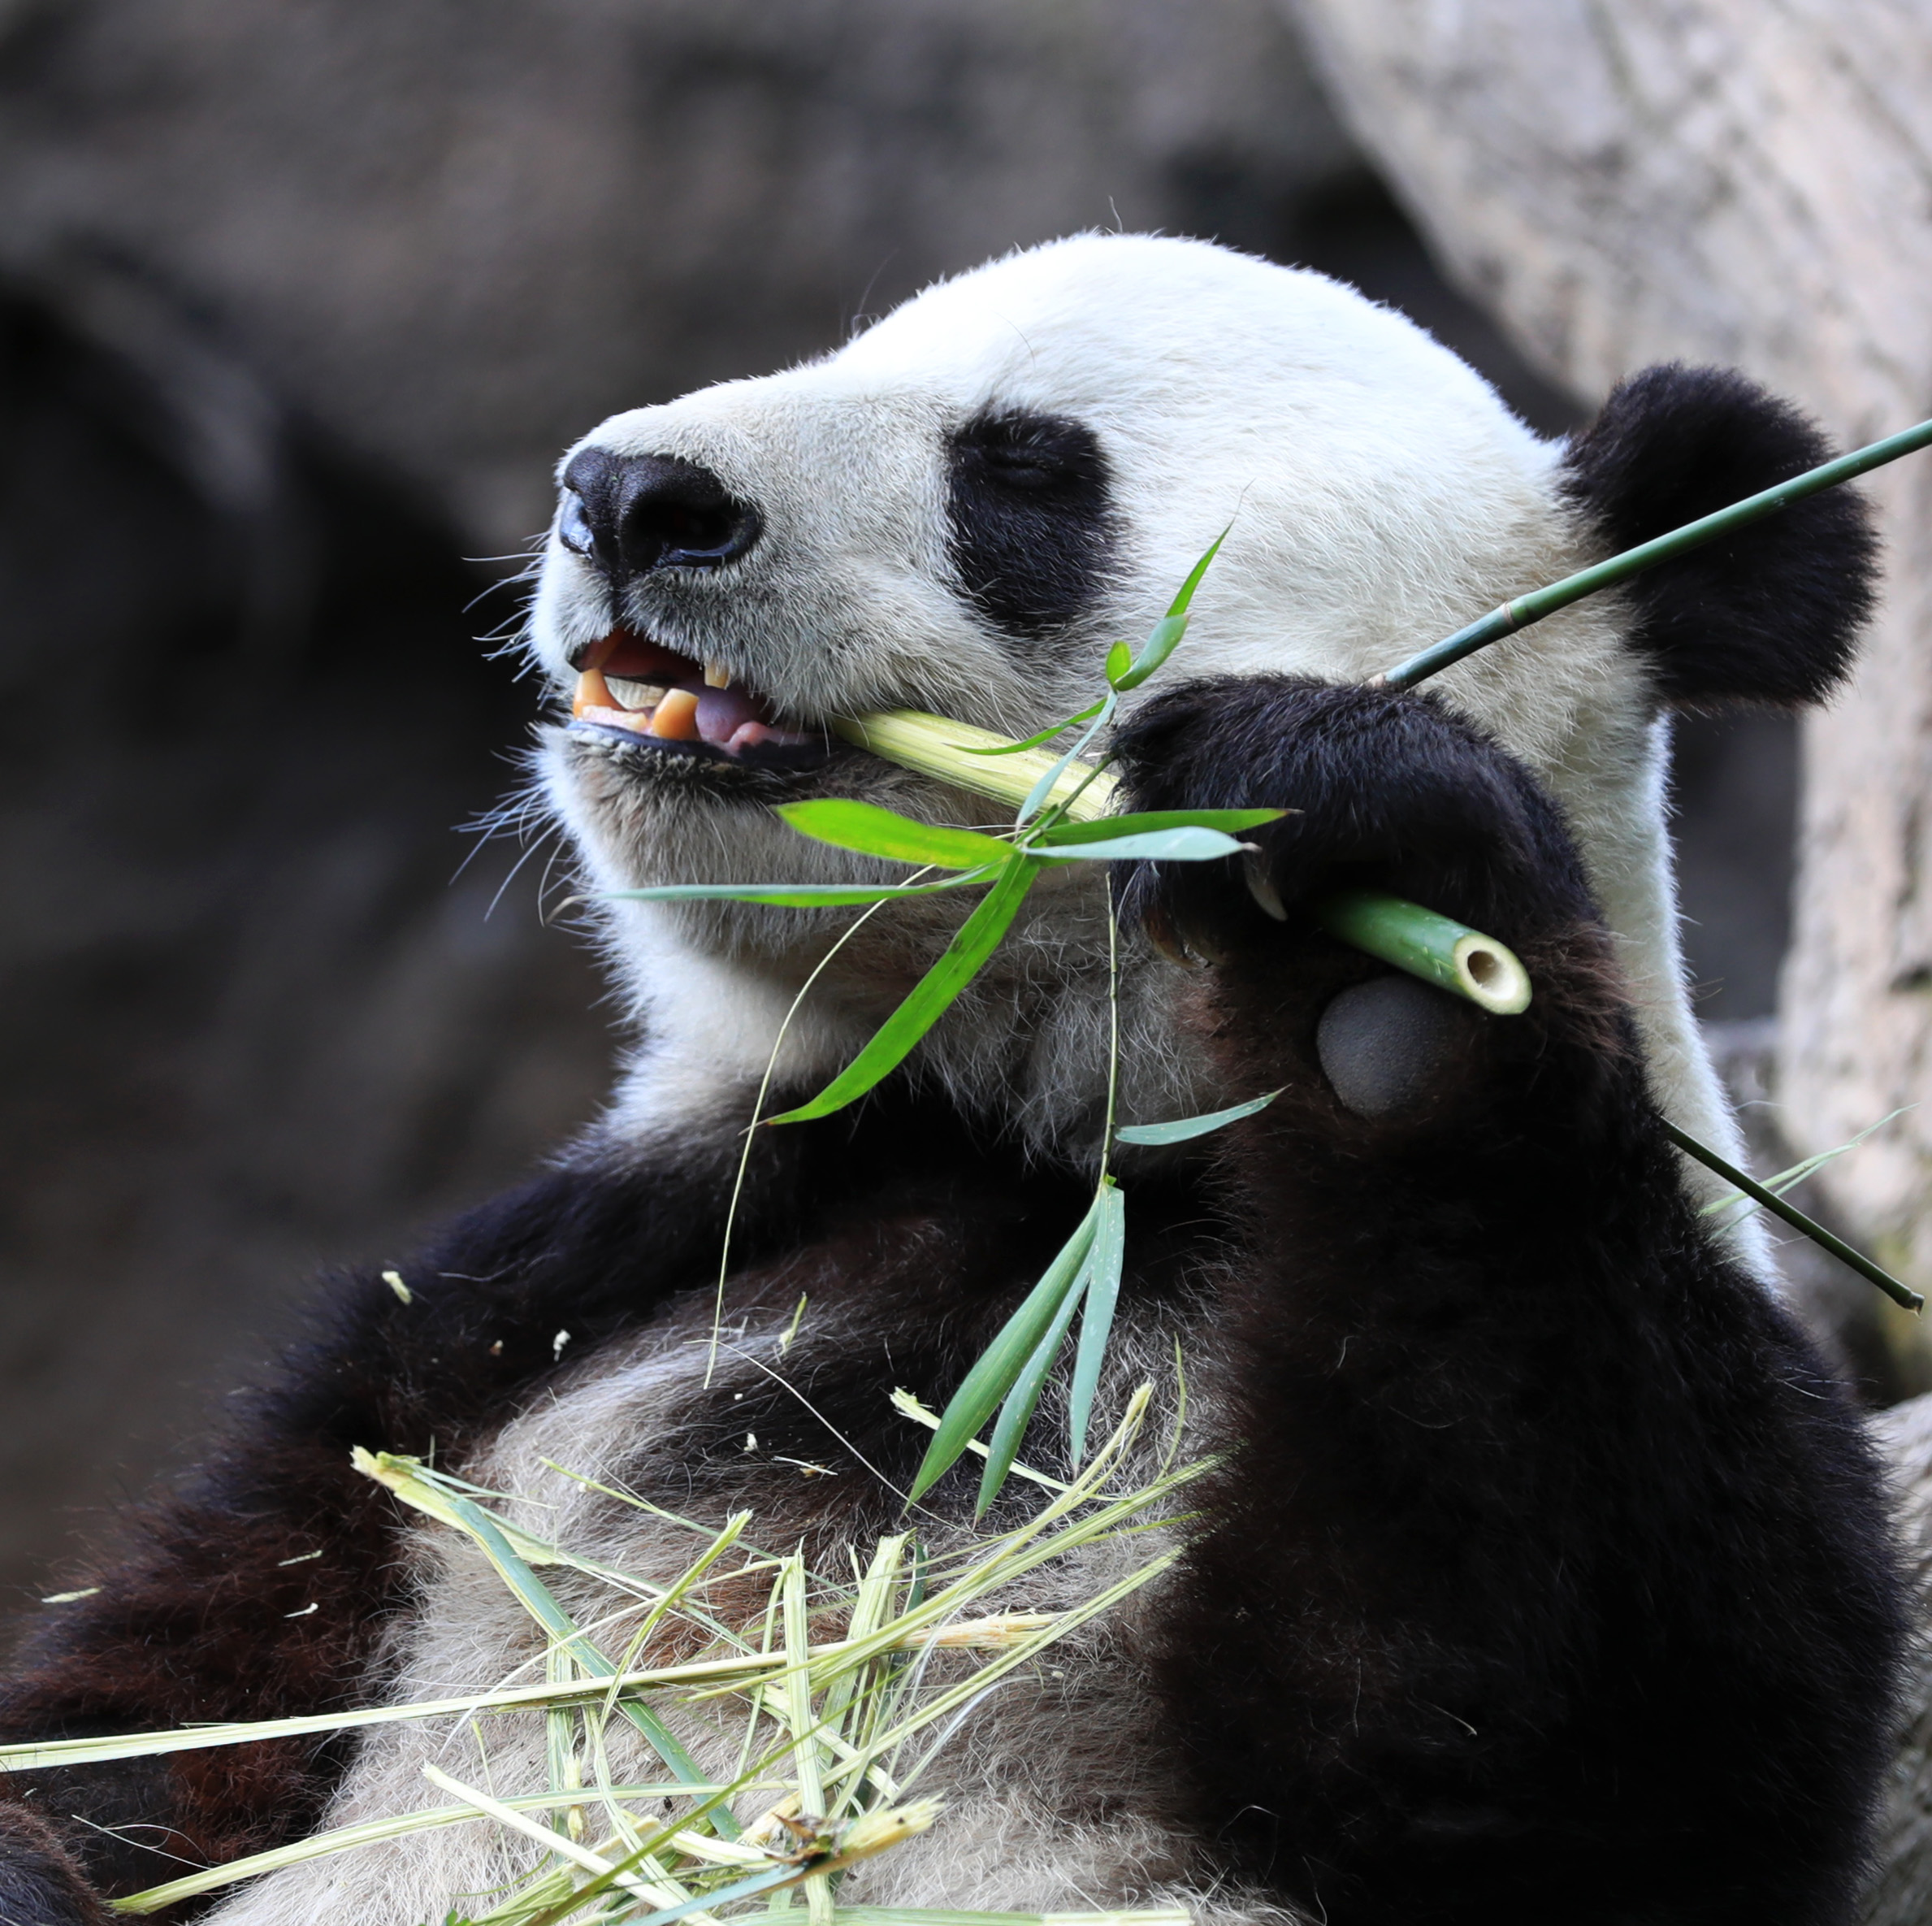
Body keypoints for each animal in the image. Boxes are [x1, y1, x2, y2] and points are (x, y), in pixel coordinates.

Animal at [0, 236, 1900, 1924]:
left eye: (1023, 471)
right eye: (844, 353)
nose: (630, 493)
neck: (1067, 1138)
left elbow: (1568, 1746)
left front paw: (1382, 959)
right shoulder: (558, 1283)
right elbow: (162, 1709)